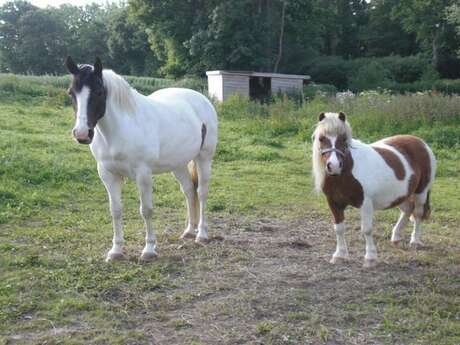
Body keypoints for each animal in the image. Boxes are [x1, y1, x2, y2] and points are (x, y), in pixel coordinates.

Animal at [65, 57, 218, 260]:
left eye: (98, 92)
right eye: (71, 93)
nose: (82, 134)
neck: (121, 128)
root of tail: (202, 99)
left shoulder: (143, 174)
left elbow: (146, 210)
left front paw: (149, 249)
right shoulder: (107, 174)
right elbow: (116, 210)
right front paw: (116, 251)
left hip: (204, 158)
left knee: (201, 192)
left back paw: (201, 234)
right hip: (178, 164)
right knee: (188, 191)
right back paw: (188, 231)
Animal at [310, 111, 436, 268]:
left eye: (343, 138)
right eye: (321, 138)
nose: (333, 166)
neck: (345, 173)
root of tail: (421, 142)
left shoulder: (365, 204)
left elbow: (367, 229)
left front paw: (370, 258)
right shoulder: (334, 203)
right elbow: (339, 229)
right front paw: (339, 255)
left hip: (421, 192)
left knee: (418, 213)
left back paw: (415, 241)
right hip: (402, 194)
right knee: (407, 210)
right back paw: (396, 237)